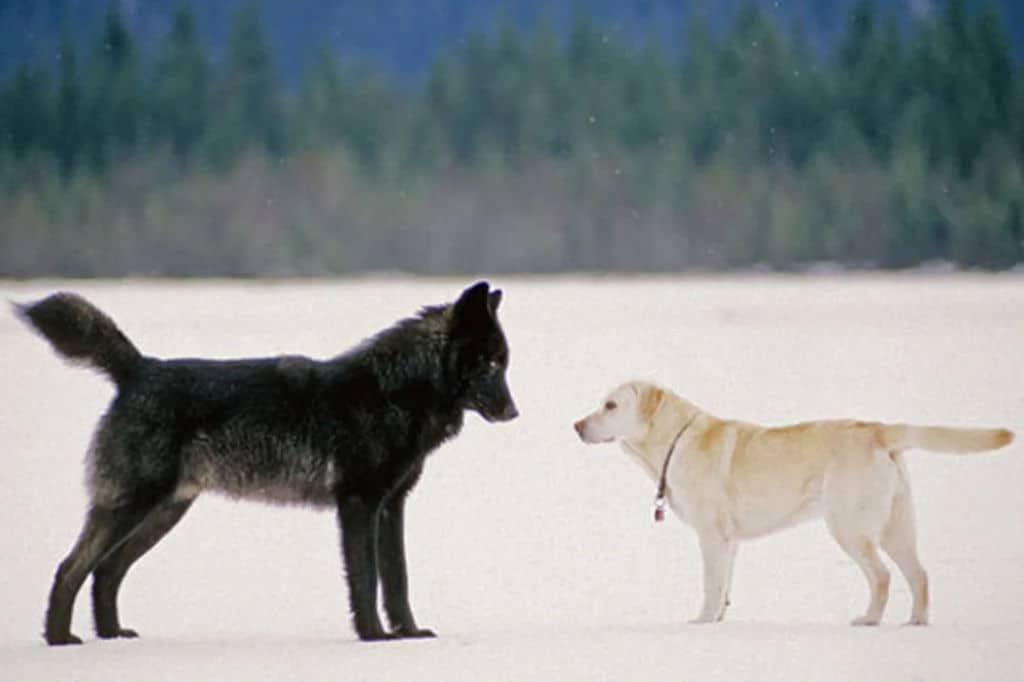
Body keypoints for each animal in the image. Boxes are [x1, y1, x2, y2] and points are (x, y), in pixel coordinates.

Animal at [18, 280, 520, 643]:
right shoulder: (359, 505)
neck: (393, 392)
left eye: (504, 362)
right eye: (491, 364)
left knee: (105, 571)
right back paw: (60, 640)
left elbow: (397, 579)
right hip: (133, 505)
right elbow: (367, 579)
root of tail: (139, 368)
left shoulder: (391, 506)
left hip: (165, 512)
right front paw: (374, 637)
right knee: (71, 568)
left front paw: (409, 633)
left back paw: (111, 636)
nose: (514, 412)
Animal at [573, 378, 1011, 622]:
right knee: (919, 575)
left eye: (611, 405)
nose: (576, 425)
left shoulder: (712, 535)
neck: (674, 441)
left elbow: (711, 585)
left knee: (883, 576)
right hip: (896, 526)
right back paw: (915, 623)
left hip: (849, 527)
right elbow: (725, 587)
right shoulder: (730, 542)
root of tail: (877, 429)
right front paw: (717, 621)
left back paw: (869, 620)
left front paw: (699, 623)